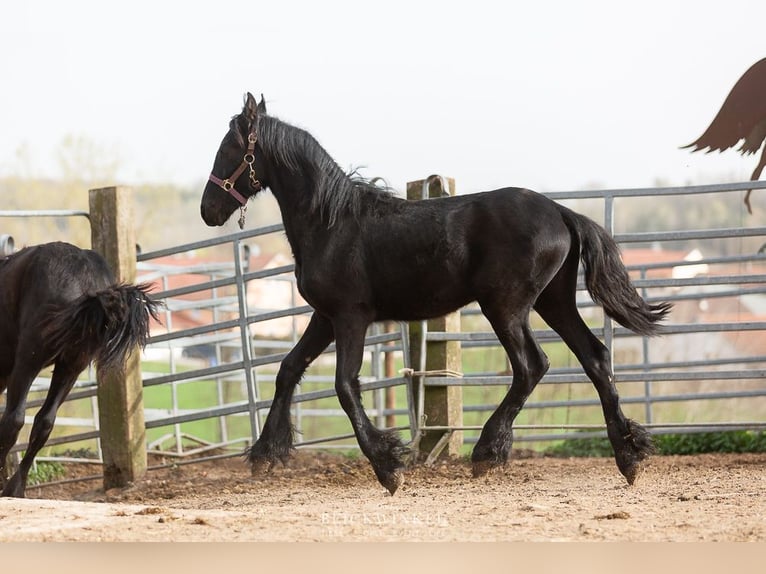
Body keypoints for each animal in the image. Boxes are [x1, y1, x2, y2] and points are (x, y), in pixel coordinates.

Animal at [200, 93, 672, 494]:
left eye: (229, 147)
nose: (208, 210)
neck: (332, 223)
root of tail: (561, 211)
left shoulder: (351, 316)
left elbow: (344, 386)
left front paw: (389, 467)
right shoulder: (324, 317)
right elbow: (288, 369)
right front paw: (265, 453)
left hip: (506, 307)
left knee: (531, 365)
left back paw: (487, 454)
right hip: (552, 301)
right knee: (595, 357)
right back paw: (628, 457)